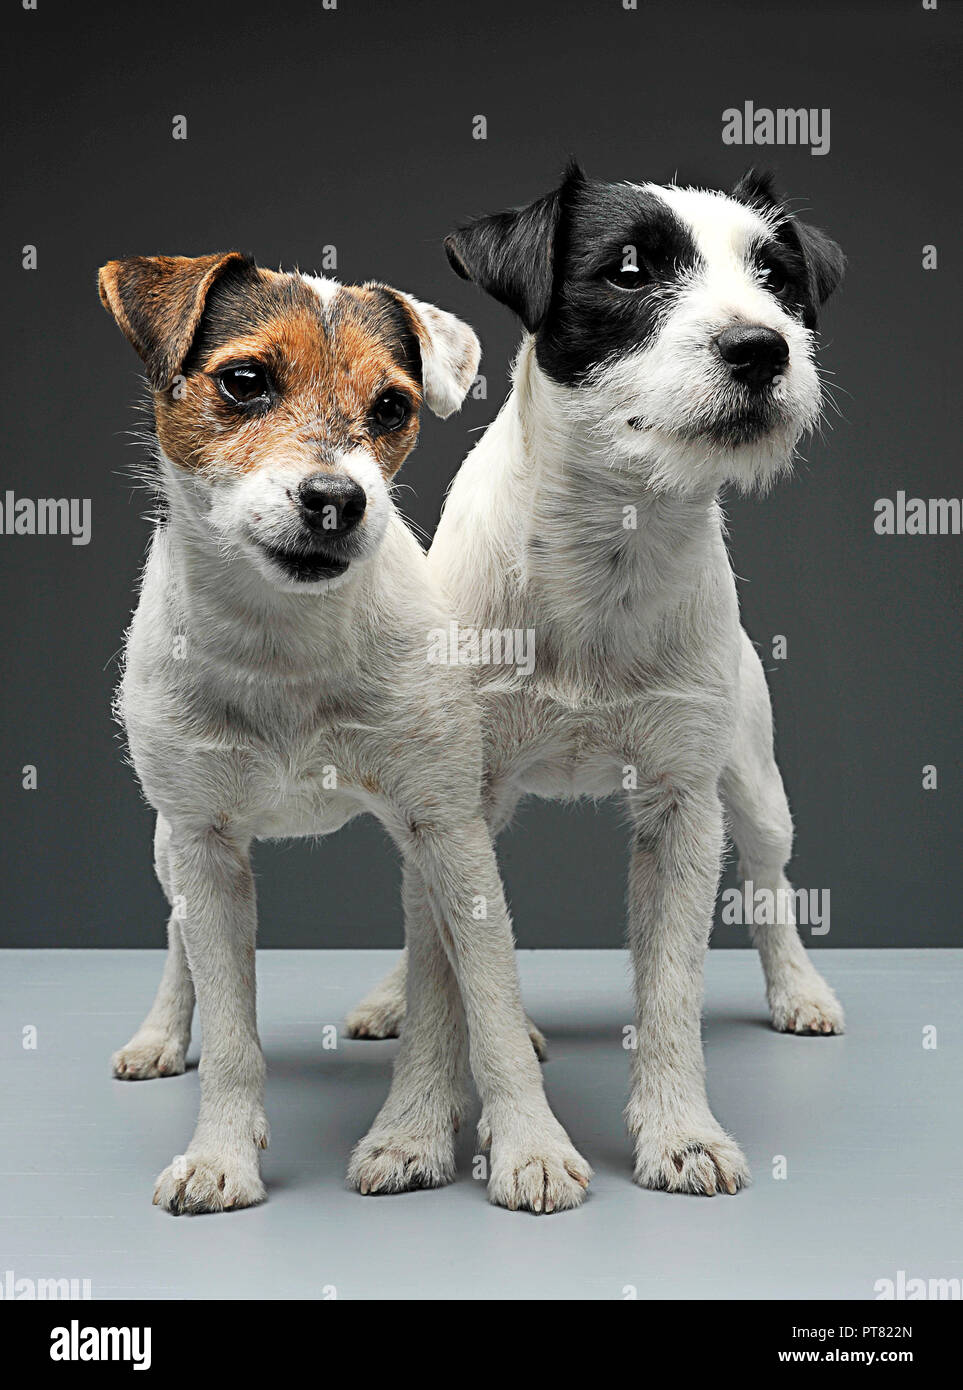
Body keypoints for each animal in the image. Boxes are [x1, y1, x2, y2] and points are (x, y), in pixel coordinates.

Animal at [101, 252, 589, 1217]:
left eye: (393, 406)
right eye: (244, 381)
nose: (337, 500)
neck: (284, 642)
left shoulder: (447, 826)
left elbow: (486, 995)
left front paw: (531, 1145)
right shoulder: (205, 846)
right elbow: (231, 1025)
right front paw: (220, 1154)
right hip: (167, 844)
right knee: (178, 943)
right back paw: (161, 1035)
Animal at [348, 165, 844, 1195]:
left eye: (776, 279)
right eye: (627, 270)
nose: (762, 347)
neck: (605, 552)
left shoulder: (683, 805)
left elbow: (671, 991)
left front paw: (679, 1132)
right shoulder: (450, 799)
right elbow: (442, 976)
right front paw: (413, 1129)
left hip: (754, 781)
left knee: (771, 879)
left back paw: (798, 988)